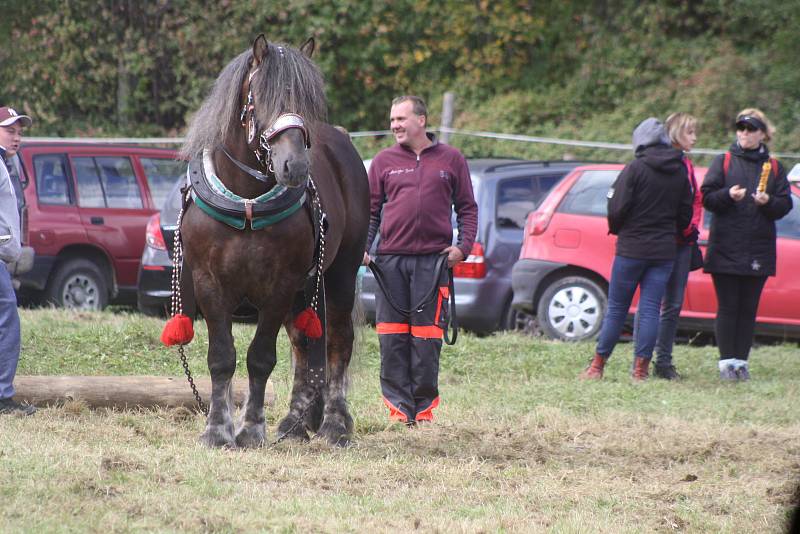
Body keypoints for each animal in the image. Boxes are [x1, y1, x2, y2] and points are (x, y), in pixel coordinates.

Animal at [180, 34, 368, 448]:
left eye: (308, 101)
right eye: (261, 97)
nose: (294, 166)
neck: (246, 202)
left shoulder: (281, 283)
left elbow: (260, 357)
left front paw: (251, 429)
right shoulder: (208, 282)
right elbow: (222, 356)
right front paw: (217, 429)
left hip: (341, 273)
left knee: (338, 341)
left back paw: (334, 424)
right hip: (307, 287)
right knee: (304, 344)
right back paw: (296, 423)